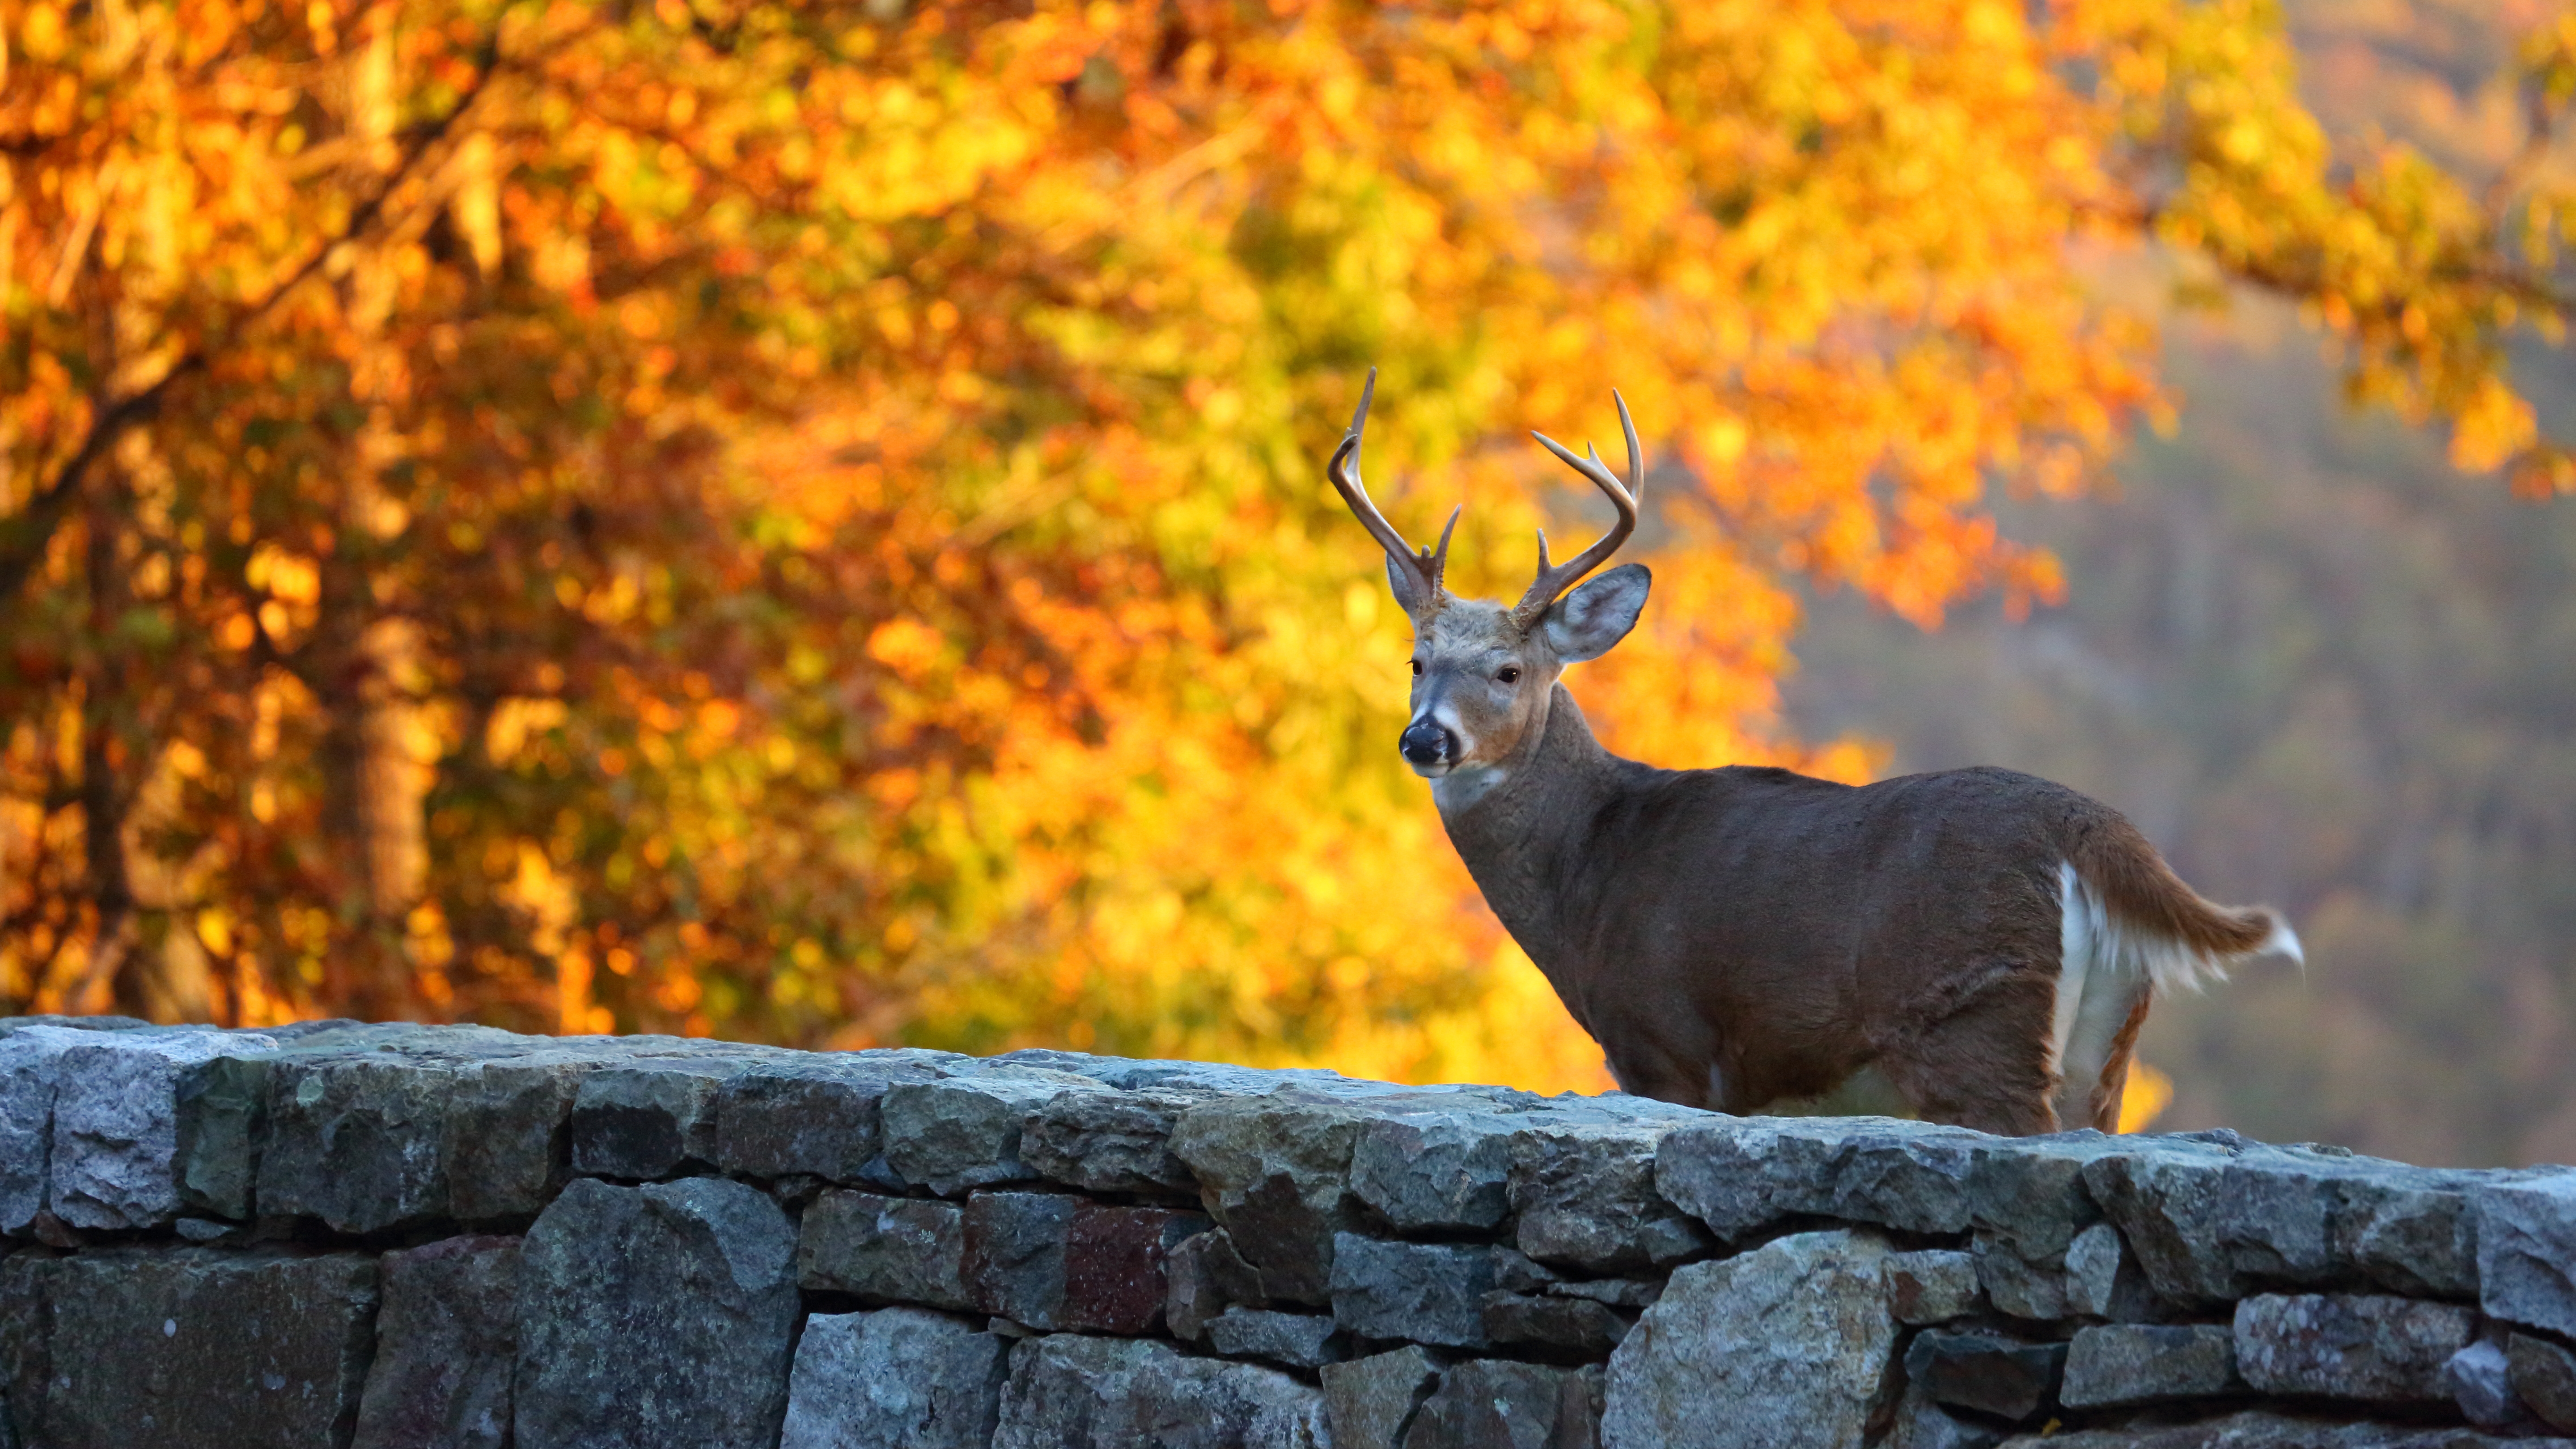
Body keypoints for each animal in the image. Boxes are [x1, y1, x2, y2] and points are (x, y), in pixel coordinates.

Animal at [1329, 369, 2297, 1129]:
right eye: (1416, 660)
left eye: (1509, 670)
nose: (1426, 737)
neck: (1590, 872)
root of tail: (2096, 834)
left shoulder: (1664, 1043)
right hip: (2110, 1047)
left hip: (1979, 1017)